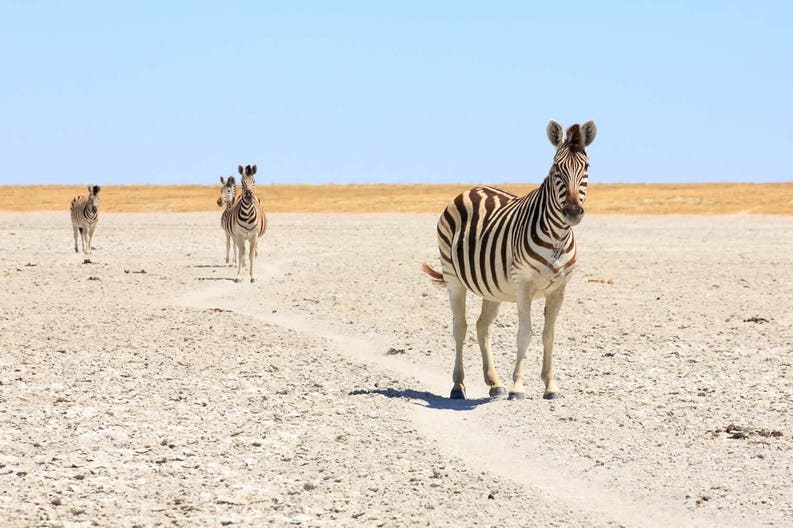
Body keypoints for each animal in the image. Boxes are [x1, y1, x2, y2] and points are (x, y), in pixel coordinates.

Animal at [422, 120, 597, 400]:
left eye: (586, 167)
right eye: (556, 168)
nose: (572, 212)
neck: (557, 237)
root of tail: (472, 188)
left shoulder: (560, 288)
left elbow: (549, 335)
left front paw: (550, 387)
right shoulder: (523, 283)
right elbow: (525, 333)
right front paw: (518, 387)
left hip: (491, 287)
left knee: (482, 326)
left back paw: (494, 383)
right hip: (453, 278)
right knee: (460, 327)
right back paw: (458, 386)